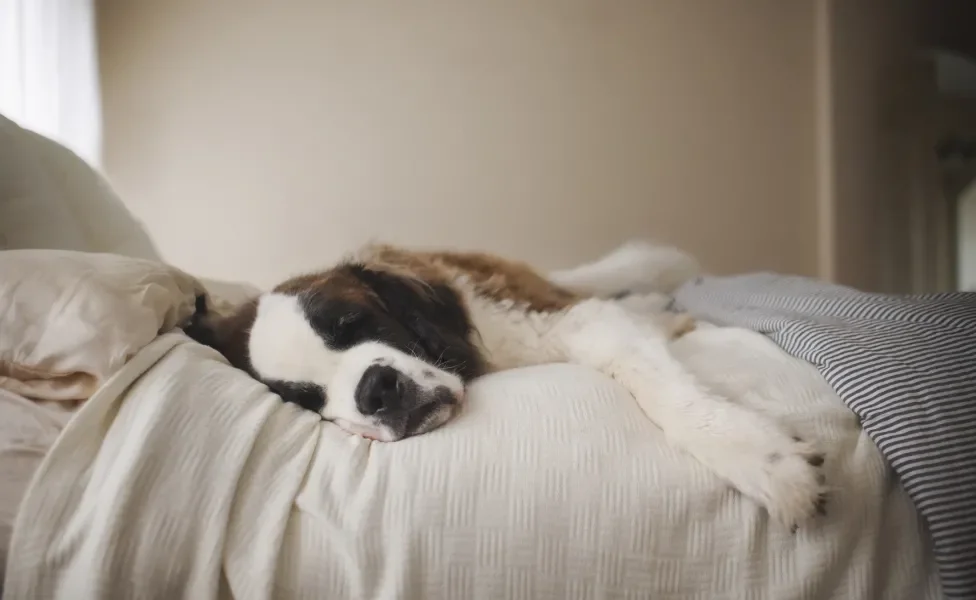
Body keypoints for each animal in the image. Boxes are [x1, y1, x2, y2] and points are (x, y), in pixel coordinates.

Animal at [183, 239, 824, 528]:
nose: (375, 391)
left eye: (354, 324)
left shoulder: (570, 322)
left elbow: (656, 382)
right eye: (307, 400)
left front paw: (760, 459)